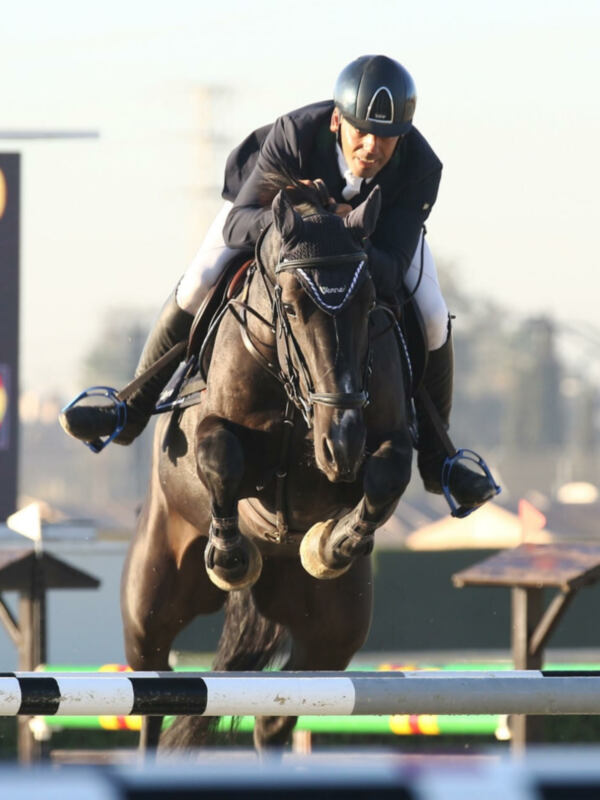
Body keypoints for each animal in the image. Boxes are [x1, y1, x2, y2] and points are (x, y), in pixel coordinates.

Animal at [120, 180, 414, 753]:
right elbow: (220, 457)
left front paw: (331, 544)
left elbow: (388, 476)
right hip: (151, 598)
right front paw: (231, 557)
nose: (341, 443)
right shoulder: (213, 430)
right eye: (294, 308)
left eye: (369, 305)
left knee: (278, 717)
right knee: (151, 697)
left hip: (329, 638)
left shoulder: (389, 437)